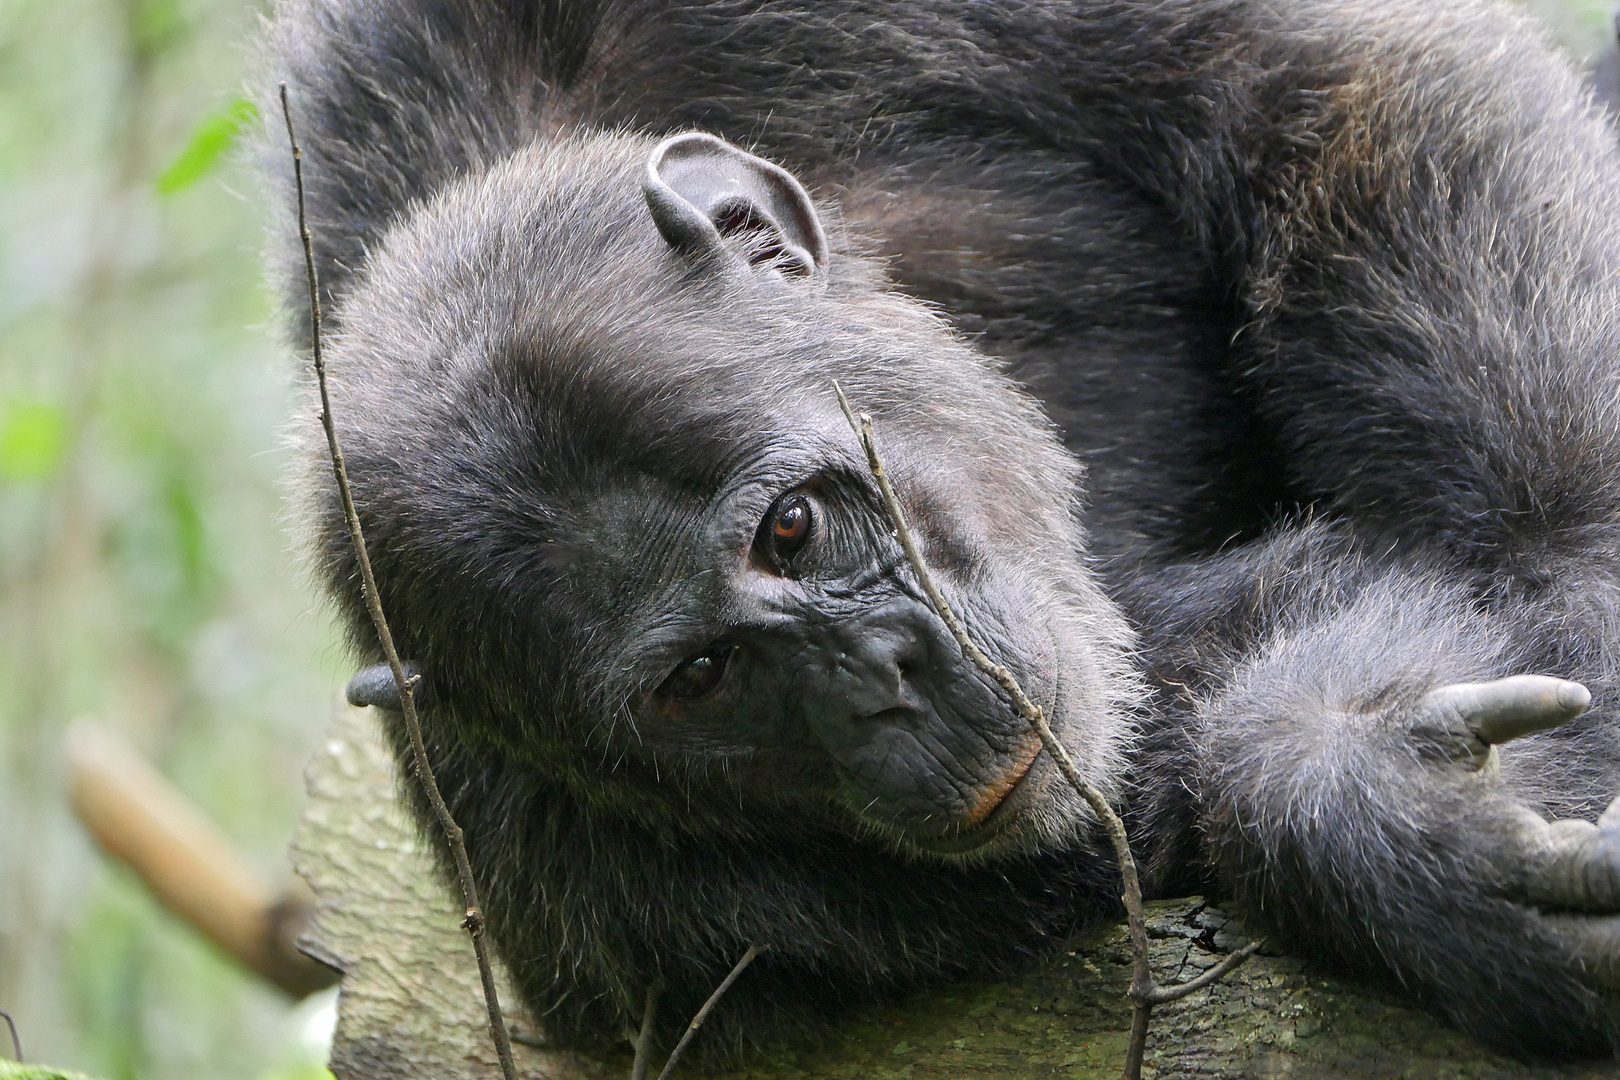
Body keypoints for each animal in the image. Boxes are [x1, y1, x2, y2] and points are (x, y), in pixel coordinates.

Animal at [262, 0, 1620, 1062]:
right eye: (702, 677)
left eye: (791, 529)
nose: (882, 681)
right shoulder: (585, 891)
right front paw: (1361, 802)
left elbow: (1331, 99)